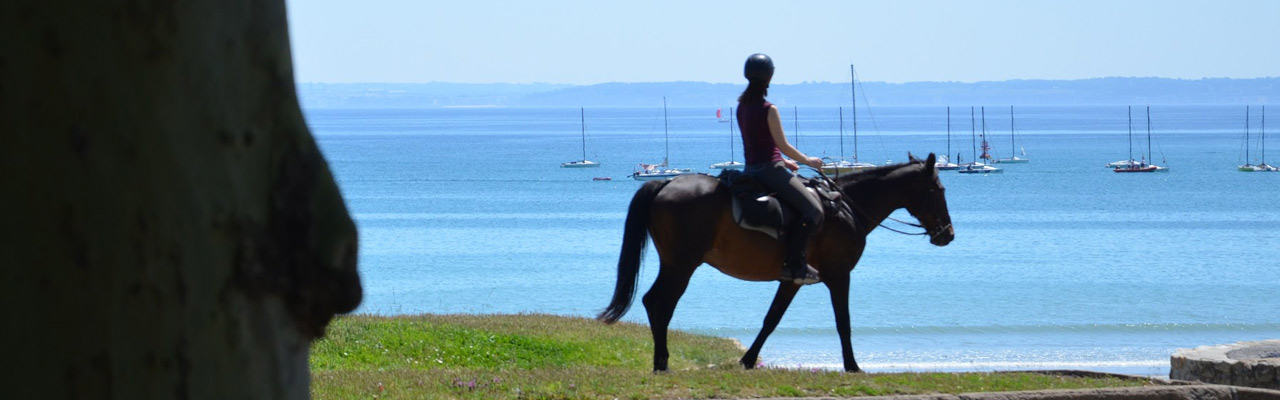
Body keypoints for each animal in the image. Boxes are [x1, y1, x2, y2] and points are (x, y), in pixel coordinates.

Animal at [596, 152, 952, 371]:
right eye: (938, 188)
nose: (947, 234)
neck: (846, 208)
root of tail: (667, 182)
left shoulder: (792, 279)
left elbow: (771, 319)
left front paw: (747, 360)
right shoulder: (839, 275)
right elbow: (844, 322)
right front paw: (852, 366)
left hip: (675, 264)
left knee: (654, 302)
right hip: (681, 265)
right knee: (660, 303)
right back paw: (662, 362)